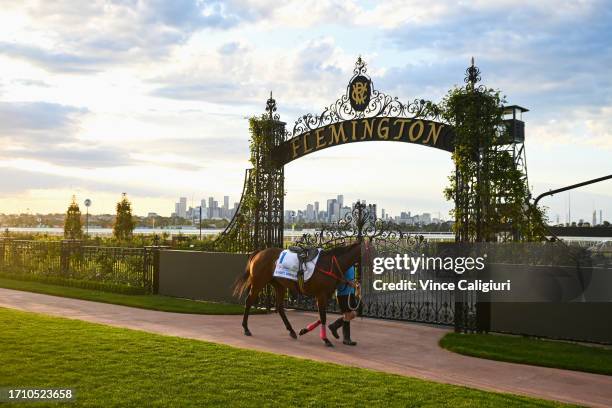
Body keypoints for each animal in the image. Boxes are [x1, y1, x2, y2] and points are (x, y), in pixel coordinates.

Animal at [231, 242, 364, 348]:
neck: (331, 264)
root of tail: (260, 252)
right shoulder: (321, 295)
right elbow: (323, 317)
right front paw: (326, 339)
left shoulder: (326, 294)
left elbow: (322, 316)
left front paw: (304, 330)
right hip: (259, 282)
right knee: (249, 301)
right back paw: (246, 328)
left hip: (279, 285)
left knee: (280, 307)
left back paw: (291, 331)